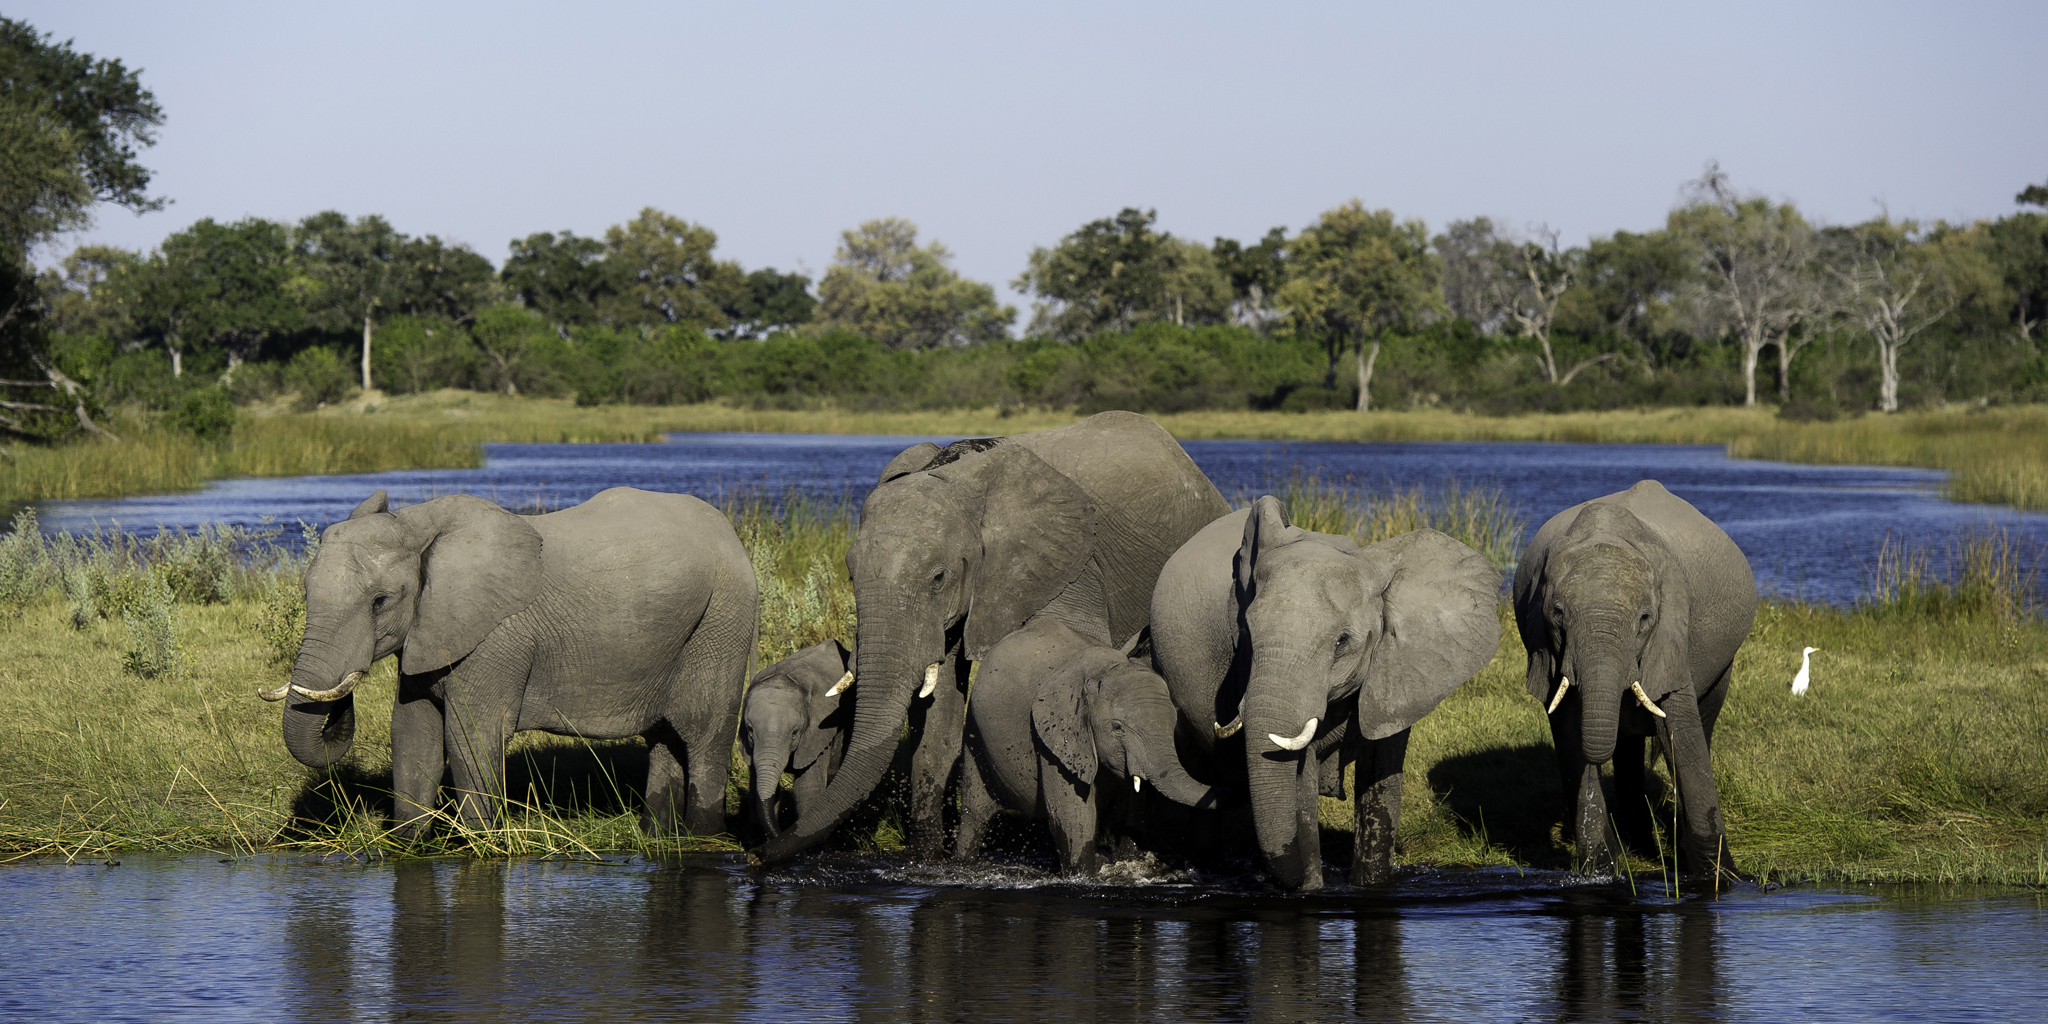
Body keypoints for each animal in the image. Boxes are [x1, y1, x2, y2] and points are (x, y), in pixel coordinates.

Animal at [261, 486, 757, 839]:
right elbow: (412, 734)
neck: (417, 522)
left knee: (703, 733)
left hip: (723, 619)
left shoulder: (495, 638)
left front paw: (482, 844)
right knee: (665, 737)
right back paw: (658, 837)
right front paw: (407, 844)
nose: (339, 700)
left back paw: (703, 838)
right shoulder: (429, 633)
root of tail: (730, 533)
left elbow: (469, 737)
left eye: (380, 602)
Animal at [740, 639, 855, 842]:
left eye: (795, 733)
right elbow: (758, 789)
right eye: (750, 730)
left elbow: (807, 788)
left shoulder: (817, 733)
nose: (779, 835)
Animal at [954, 619, 1219, 874]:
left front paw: (1130, 864)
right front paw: (1084, 877)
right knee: (974, 814)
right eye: (1117, 727)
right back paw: (964, 864)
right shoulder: (1055, 738)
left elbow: (1127, 812)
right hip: (974, 731)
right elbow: (1074, 816)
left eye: (1173, 725)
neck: (1104, 672)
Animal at [1149, 497, 1502, 891]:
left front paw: (1370, 885)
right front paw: (1309, 889)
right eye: (1247, 634)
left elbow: (1381, 771)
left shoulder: (1396, 674)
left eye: (1341, 642)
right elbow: (1300, 780)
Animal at [1513, 479, 1755, 881]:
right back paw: (1636, 841)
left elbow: (1681, 730)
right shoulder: (1546, 645)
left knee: (1703, 722)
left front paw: (1719, 878)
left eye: (1644, 619)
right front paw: (1599, 871)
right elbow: (1568, 730)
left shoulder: (1672, 631)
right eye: (1557, 613)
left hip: (1723, 663)